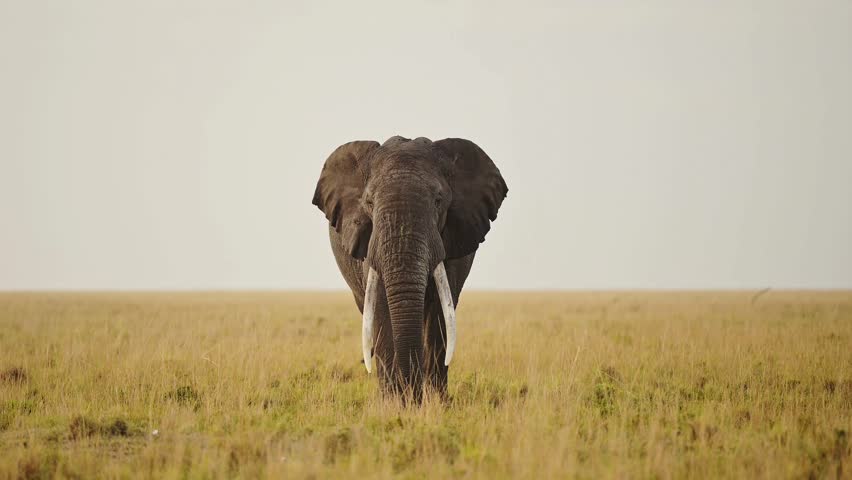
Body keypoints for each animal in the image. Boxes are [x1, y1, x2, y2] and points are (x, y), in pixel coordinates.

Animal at [311, 136, 508, 401]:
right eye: (369, 202)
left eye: (438, 201)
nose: (411, 396)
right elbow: (381, 309)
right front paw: (395, 404)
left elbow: (440, 314)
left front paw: (435, 404)